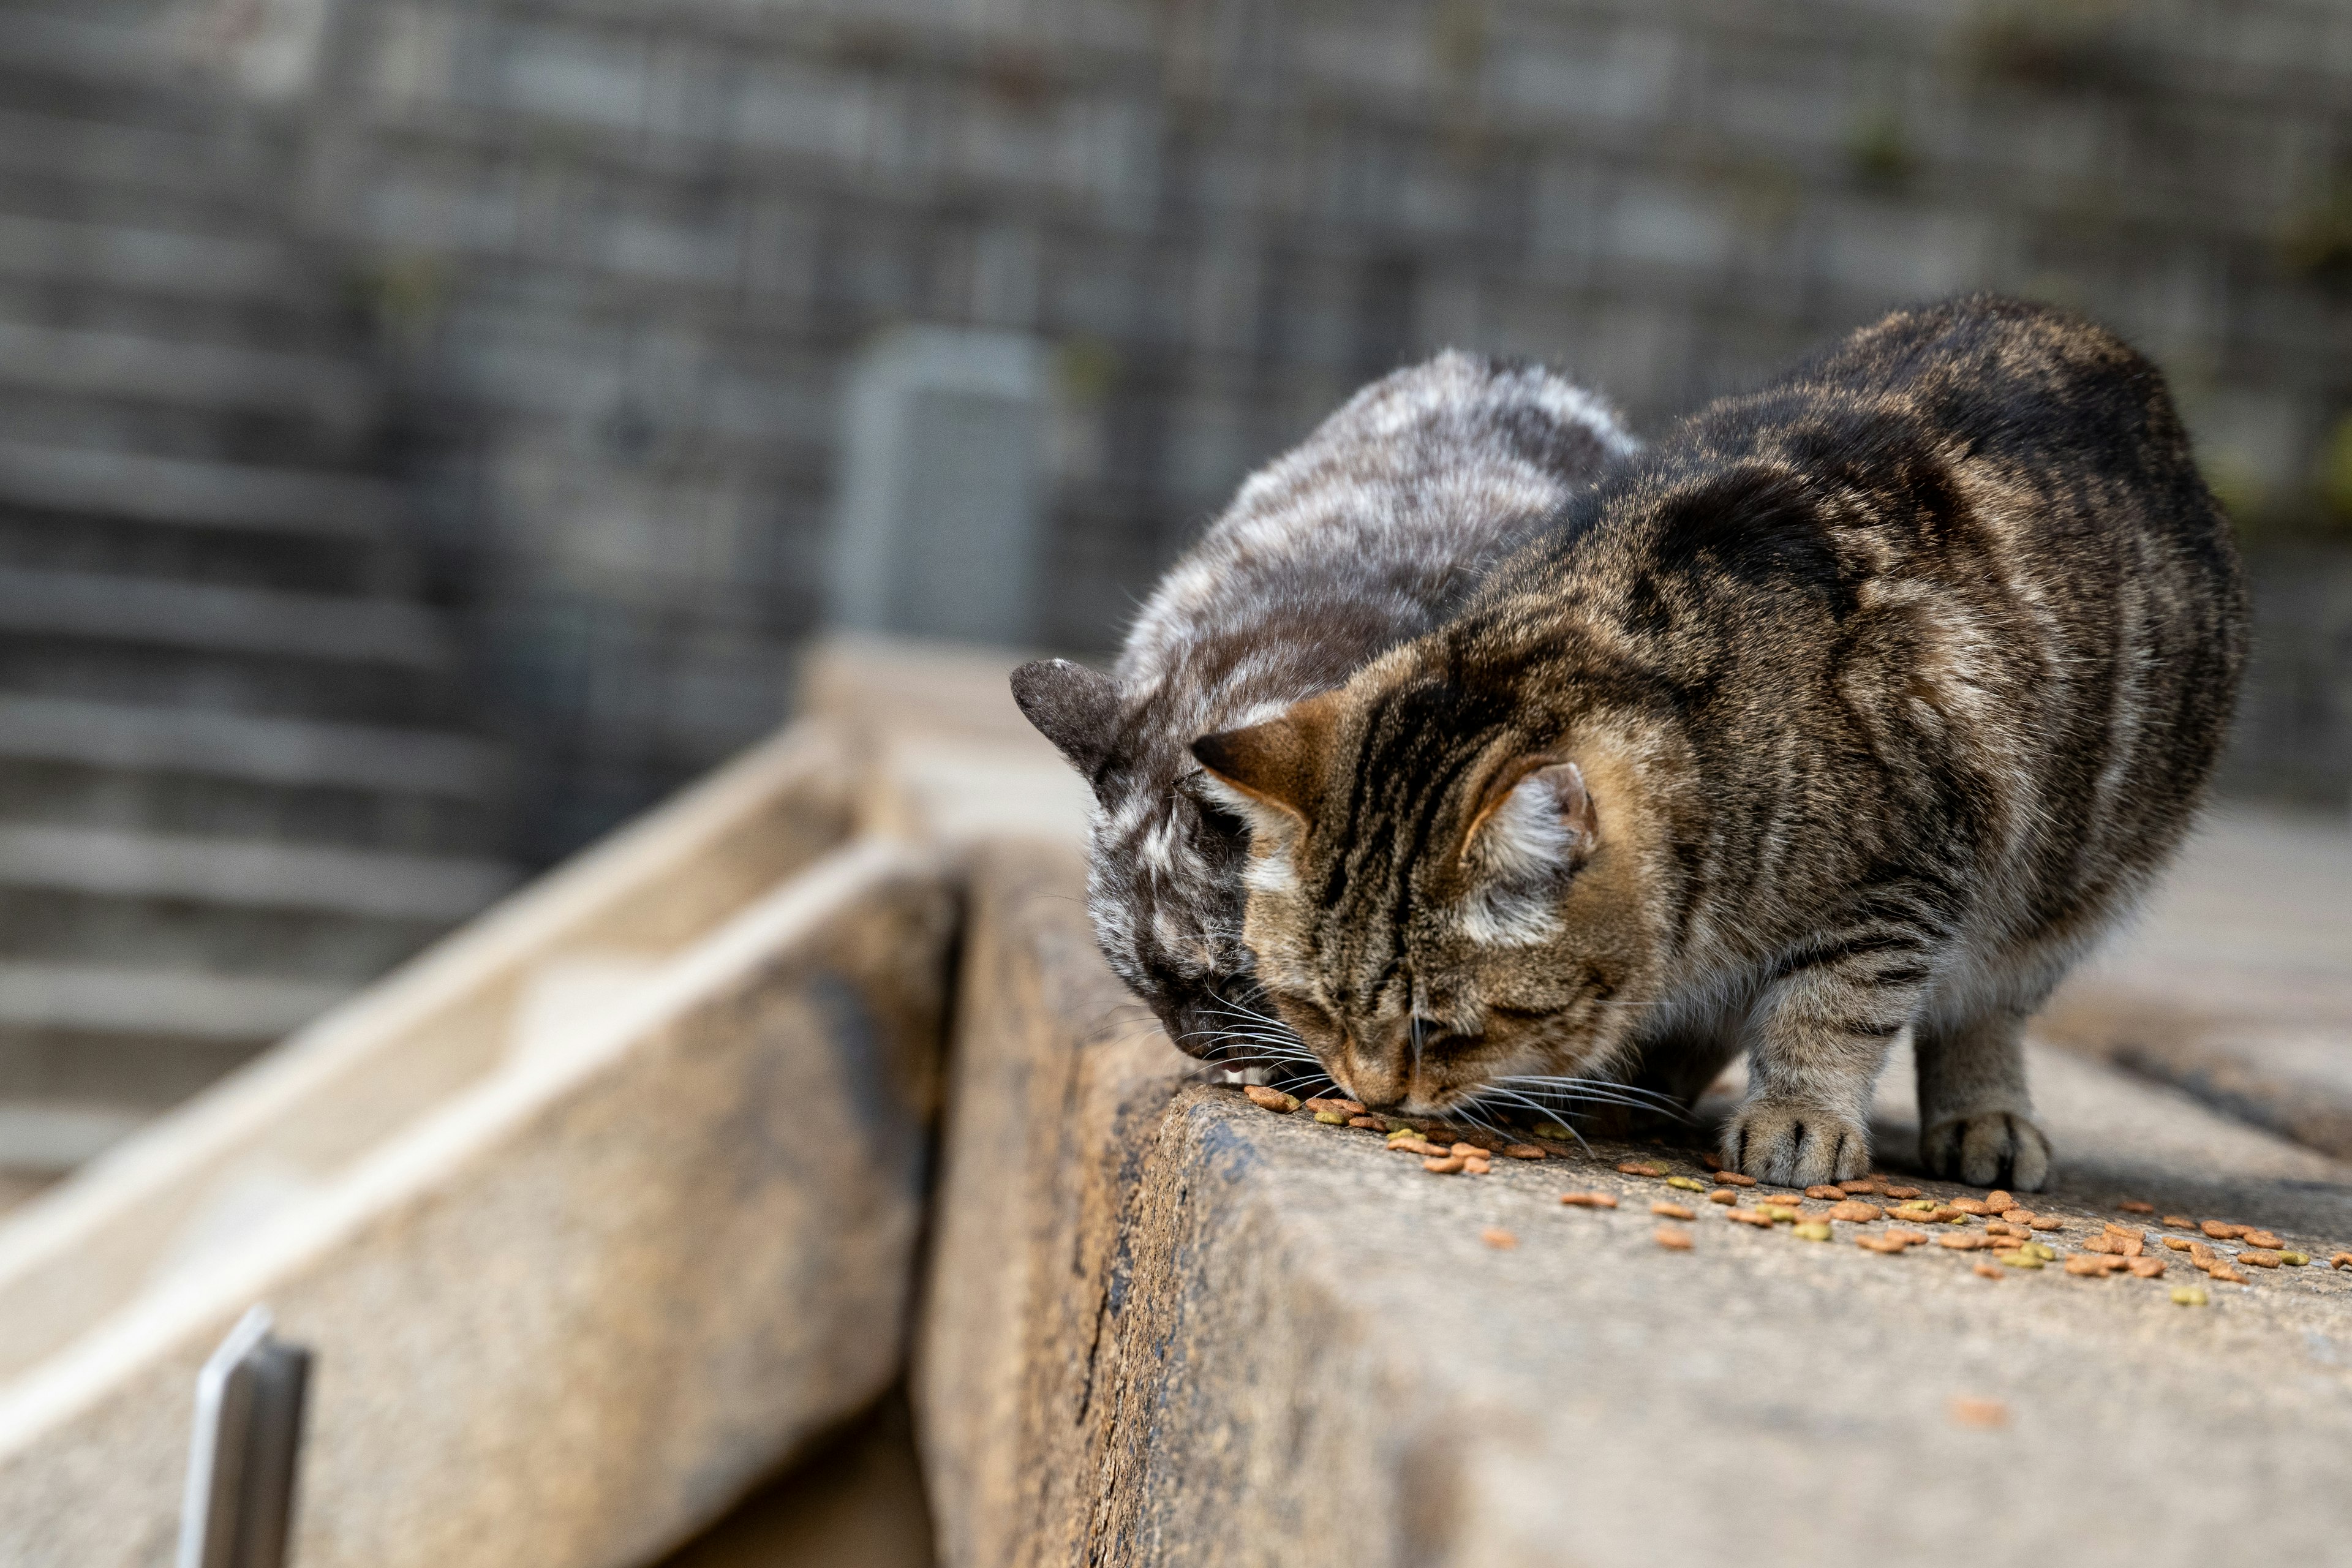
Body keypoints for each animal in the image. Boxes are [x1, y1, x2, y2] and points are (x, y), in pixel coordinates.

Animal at [1194, 297, 2239, 1189]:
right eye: (1314, 1008)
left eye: (1438, 1026)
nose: (1371, 1096)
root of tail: (2085, 332)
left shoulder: (1905, 871)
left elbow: (1833, 1004)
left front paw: (1800, 1113)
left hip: (2070, 878)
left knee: (1983, 1002)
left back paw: (1982, 1114)